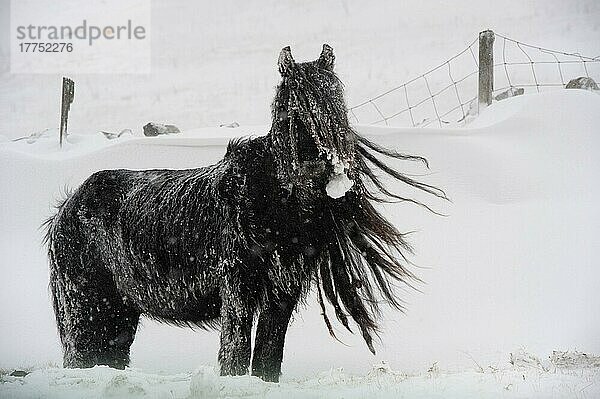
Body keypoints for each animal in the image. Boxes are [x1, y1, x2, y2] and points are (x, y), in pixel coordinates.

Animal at [43, 44, 446, 384]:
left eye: (338, 100)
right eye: (295, 107)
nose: (336, 171)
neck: (272, 202)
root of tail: (65, 209)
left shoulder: (281, 293)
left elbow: (268, 355)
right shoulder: (238, 286)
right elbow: (235, 350)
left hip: (120, 314)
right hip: (86, 307)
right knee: (81, 355)